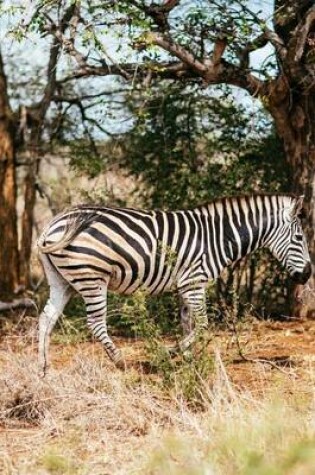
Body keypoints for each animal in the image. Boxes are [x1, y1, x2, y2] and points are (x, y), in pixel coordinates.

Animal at [37, 193, 312, 376]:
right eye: (299, 238)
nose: (308, 274)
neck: (219, 237)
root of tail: (53, 224)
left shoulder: (185, 286)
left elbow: (187, 324)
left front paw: (189, 361)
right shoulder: (194, 282)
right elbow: (202, 325)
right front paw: (170, 353)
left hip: (63, 281)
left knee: (46, 318)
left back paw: (43, 368)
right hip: (92, 277)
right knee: (95, 323)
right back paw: (120, 361)